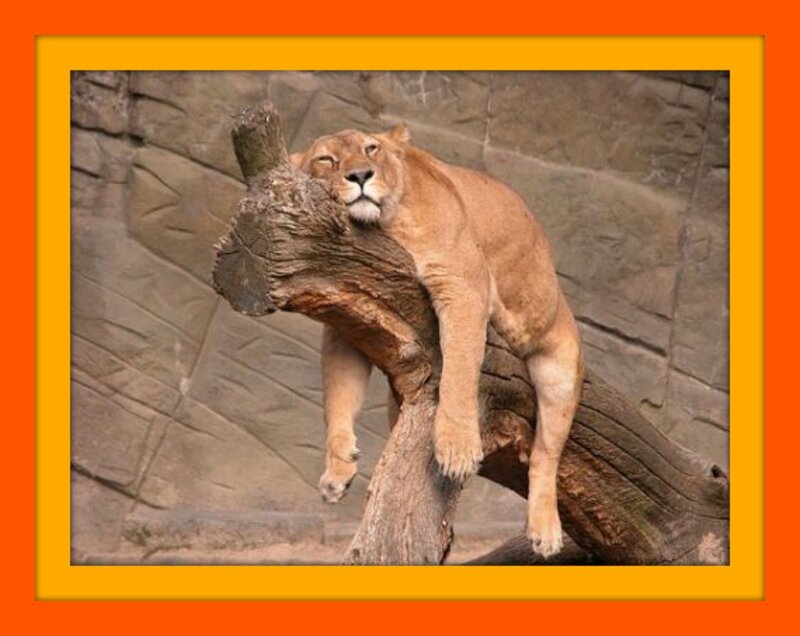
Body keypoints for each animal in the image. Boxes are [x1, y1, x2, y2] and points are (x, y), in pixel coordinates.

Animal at [291, 124, 583, 557]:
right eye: (326, 159)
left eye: (371, 149)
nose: (359, 176)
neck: (384, 226)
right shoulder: (349, 320)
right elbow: (338, 394)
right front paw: (338, 467)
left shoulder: (464, 287)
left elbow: (459, 371)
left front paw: (456, 448)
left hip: (559, 365)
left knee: (545, 454)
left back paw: (544, 531)